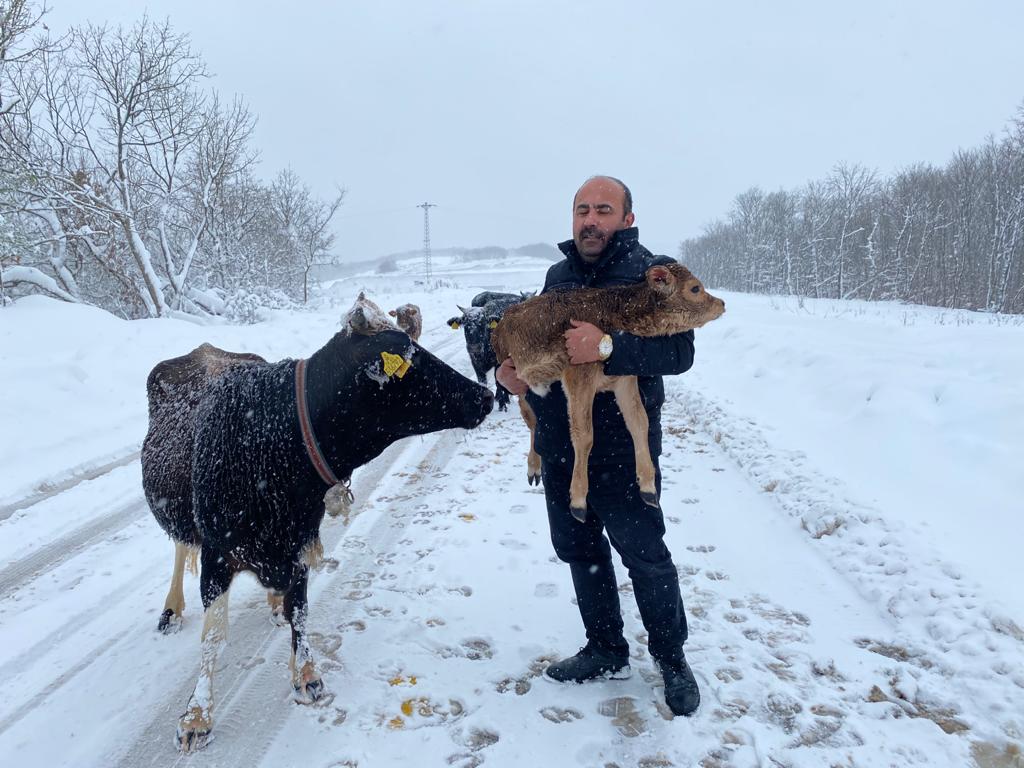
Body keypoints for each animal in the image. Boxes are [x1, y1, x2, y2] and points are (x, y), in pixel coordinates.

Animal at [143, 294, 491, 753]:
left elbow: (300, 611)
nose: (485, 395)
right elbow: (213, 637)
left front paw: (307, 676)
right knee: (182, 546)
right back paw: (171, 609)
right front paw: (197, 715)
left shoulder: (299, 543)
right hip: (182, 515)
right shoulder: (218, 556)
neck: (275, 441)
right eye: (407, 360)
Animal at [491, 264, 724, 524]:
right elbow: (583, 435)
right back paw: (533, 468)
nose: (721, 303)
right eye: (695, 288)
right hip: (518, 382)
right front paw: (578, 501)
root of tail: (500, 325)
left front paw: (648, 487)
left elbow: (639, 422)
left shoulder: (625, 378)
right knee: (532, 421)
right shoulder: (578, 377)